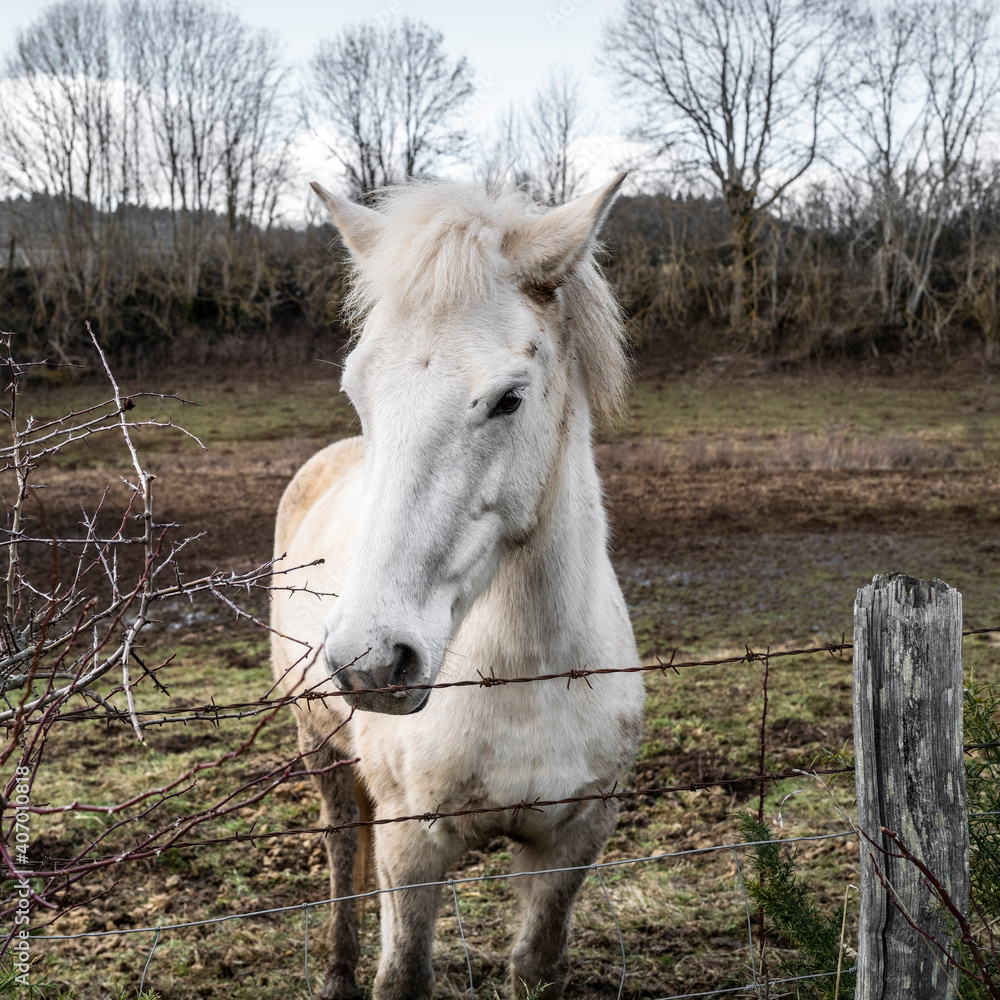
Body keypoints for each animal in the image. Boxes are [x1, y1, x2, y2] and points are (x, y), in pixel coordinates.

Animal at [270, 174, 645, 1000]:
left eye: (509, 397)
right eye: (358, 390)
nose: (372, 662)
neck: (527, 679)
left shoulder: (573, 840)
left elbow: (536, 963)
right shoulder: (413, 847)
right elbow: (403, 970)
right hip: (319, 744)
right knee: (341, 846)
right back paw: (336, 971)